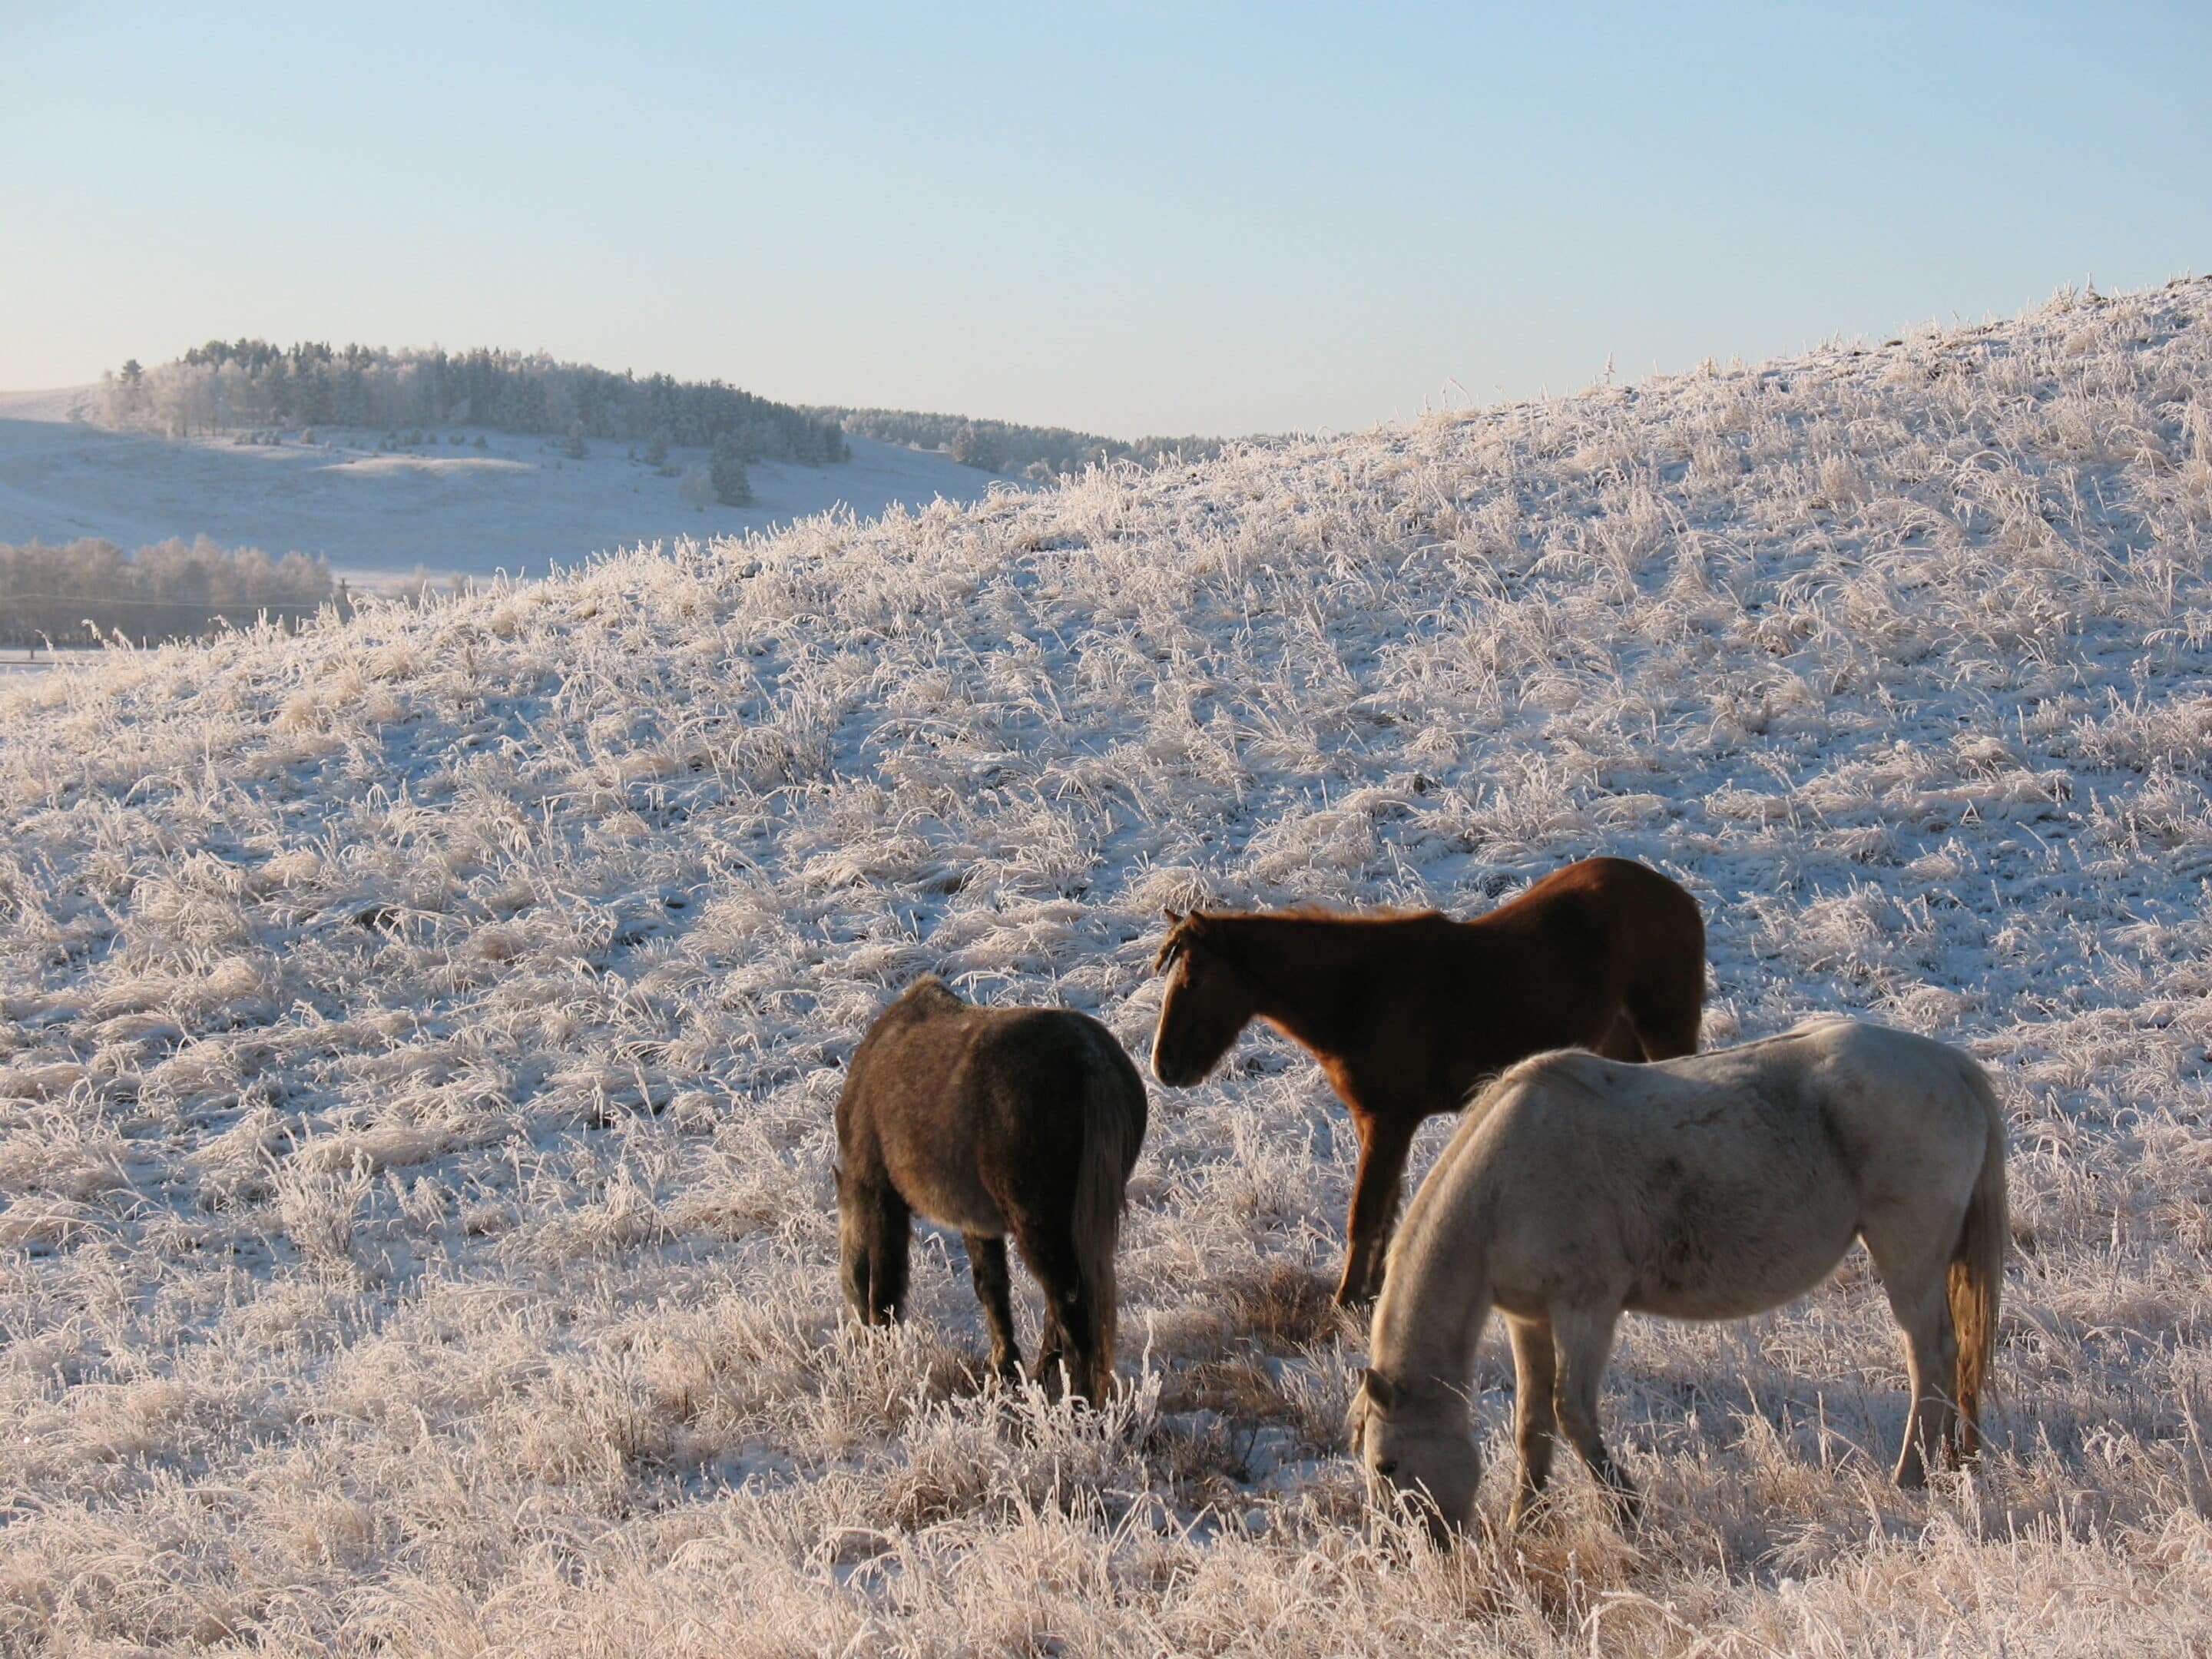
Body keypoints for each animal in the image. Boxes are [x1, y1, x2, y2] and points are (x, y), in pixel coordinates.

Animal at [831, 982, 1150, 1406]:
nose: (854, 1342)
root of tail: (1089, 1055)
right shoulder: (977, 1221)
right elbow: (991, 1289)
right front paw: (1005, 1369)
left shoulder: (882, 1199)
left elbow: (885, 1293)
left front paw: (884, 1368)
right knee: (1061, 1307)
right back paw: (1042, 1381)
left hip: (1039, 1224)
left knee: (1071, 1308)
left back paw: (1076, 1403)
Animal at [1150, 858, 1698, 1309]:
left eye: (1194, 980)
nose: (1165, 1067)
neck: (1362, 993)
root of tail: (1676, 894)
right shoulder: (1376, 1122)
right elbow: (1387, 1207)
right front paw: (1371, 1292)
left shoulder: (1389, 1120)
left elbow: (1367, 1212)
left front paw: (1347, 1301)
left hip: (1665, 1028)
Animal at [1345, 1022, 2008, 1539]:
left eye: (1387, 1465)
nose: (1399, 1553)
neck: (1503, 1185)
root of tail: (1949, 1065)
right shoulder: (1528, 1318)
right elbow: (1532, 1422)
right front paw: (1523, 1522)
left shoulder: (1586, 1309)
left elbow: (1571, 1410)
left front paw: (1625, 1511)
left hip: (1908, 1256)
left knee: (1932, 1358)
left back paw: (1911, 1477)